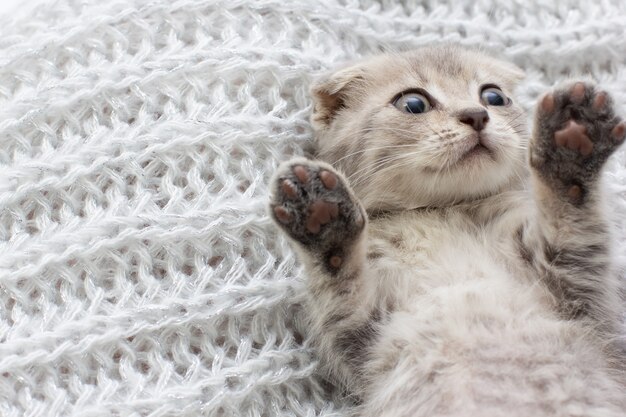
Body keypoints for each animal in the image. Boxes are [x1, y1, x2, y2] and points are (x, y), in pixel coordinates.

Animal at [266, 44, 624, 414]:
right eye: (413, 104)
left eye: (494, 96)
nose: (477, 115)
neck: (441, 213)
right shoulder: (360, 338)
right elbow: (341, 291)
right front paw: (324, 222)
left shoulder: (581, 294)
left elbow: (573, 224)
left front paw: (571, 150)